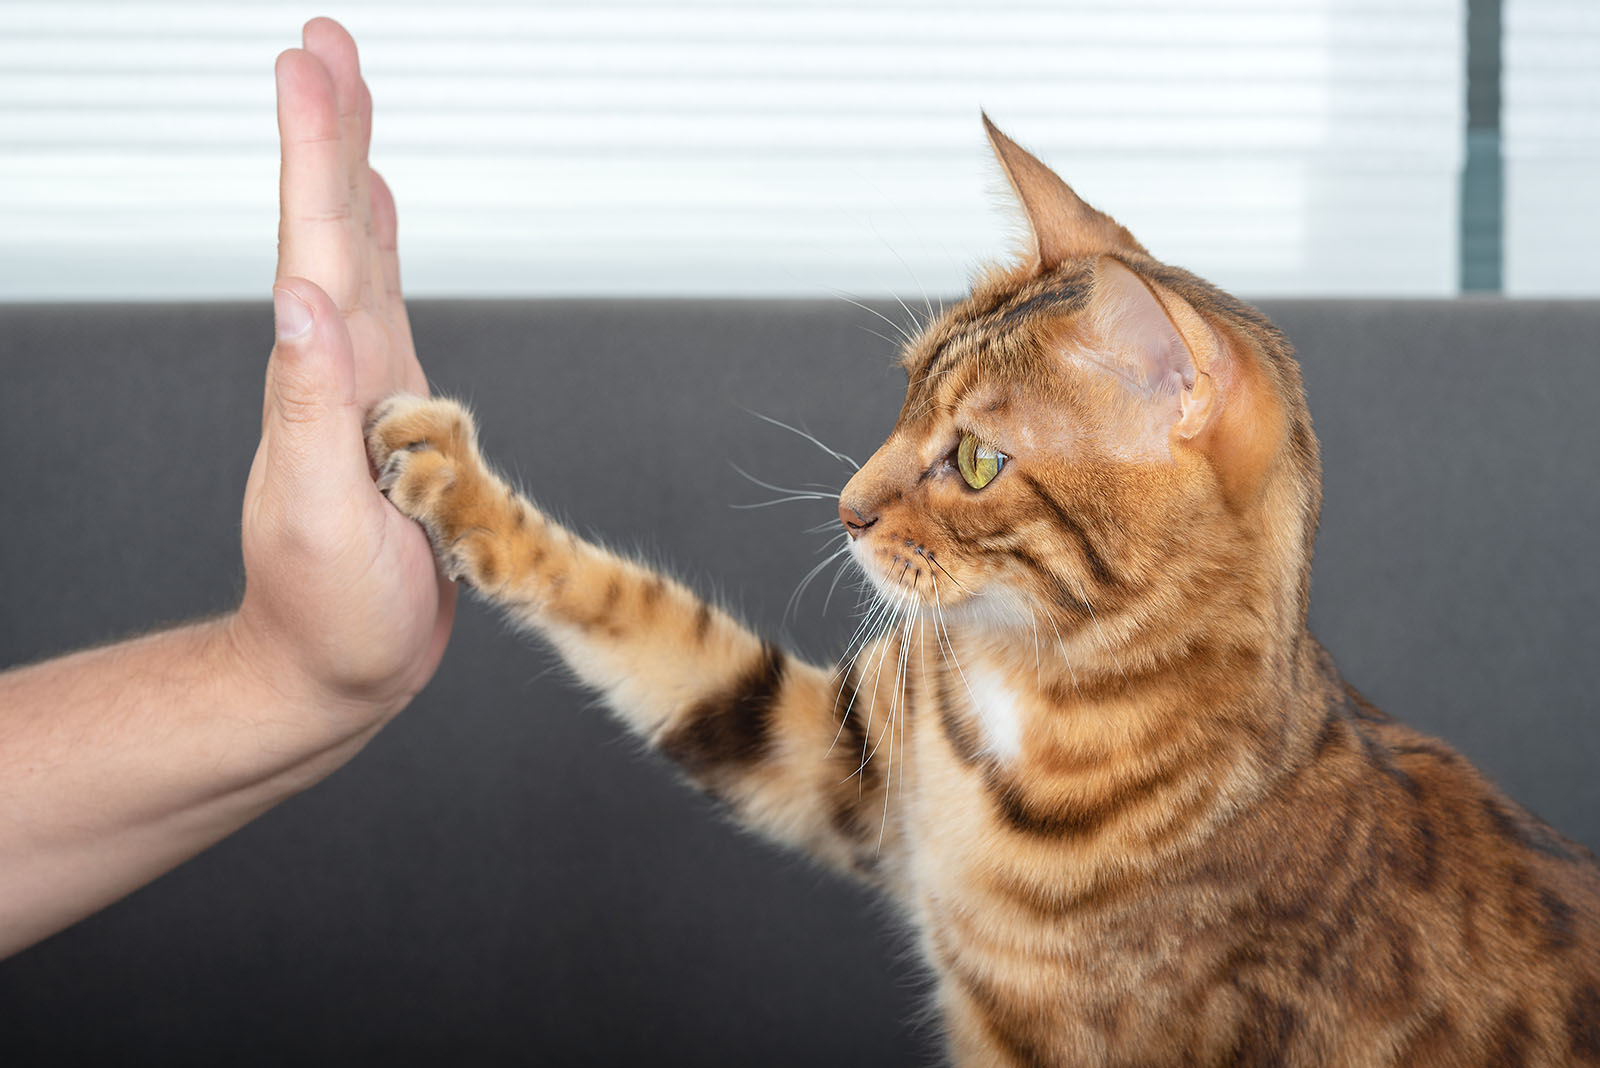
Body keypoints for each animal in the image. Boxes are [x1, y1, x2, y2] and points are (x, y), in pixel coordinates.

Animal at [363, 119, 1600, 1068]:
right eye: (906, 390)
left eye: (974, 462)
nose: (847, 508)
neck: (1036, 687)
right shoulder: (839, 758)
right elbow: (654, 628)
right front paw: (451, 478)